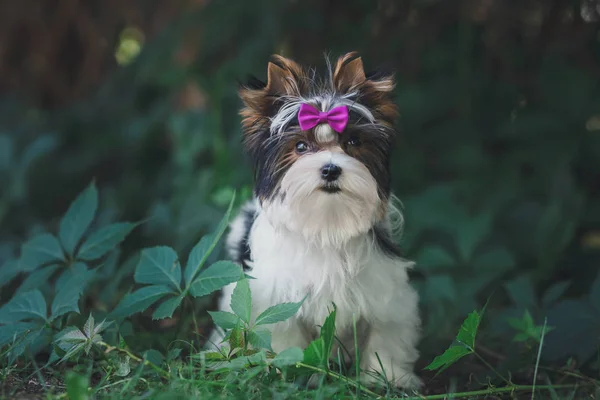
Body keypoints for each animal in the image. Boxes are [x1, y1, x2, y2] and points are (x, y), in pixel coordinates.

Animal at [210, 51, 422, 390]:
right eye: (300, 146)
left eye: (353, 142)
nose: (331, 169)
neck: (326, 223)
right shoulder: (277, 297)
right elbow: (284, 336)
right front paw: (287, 374)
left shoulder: (385, 291)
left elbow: (386, 331)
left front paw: (387, 378)